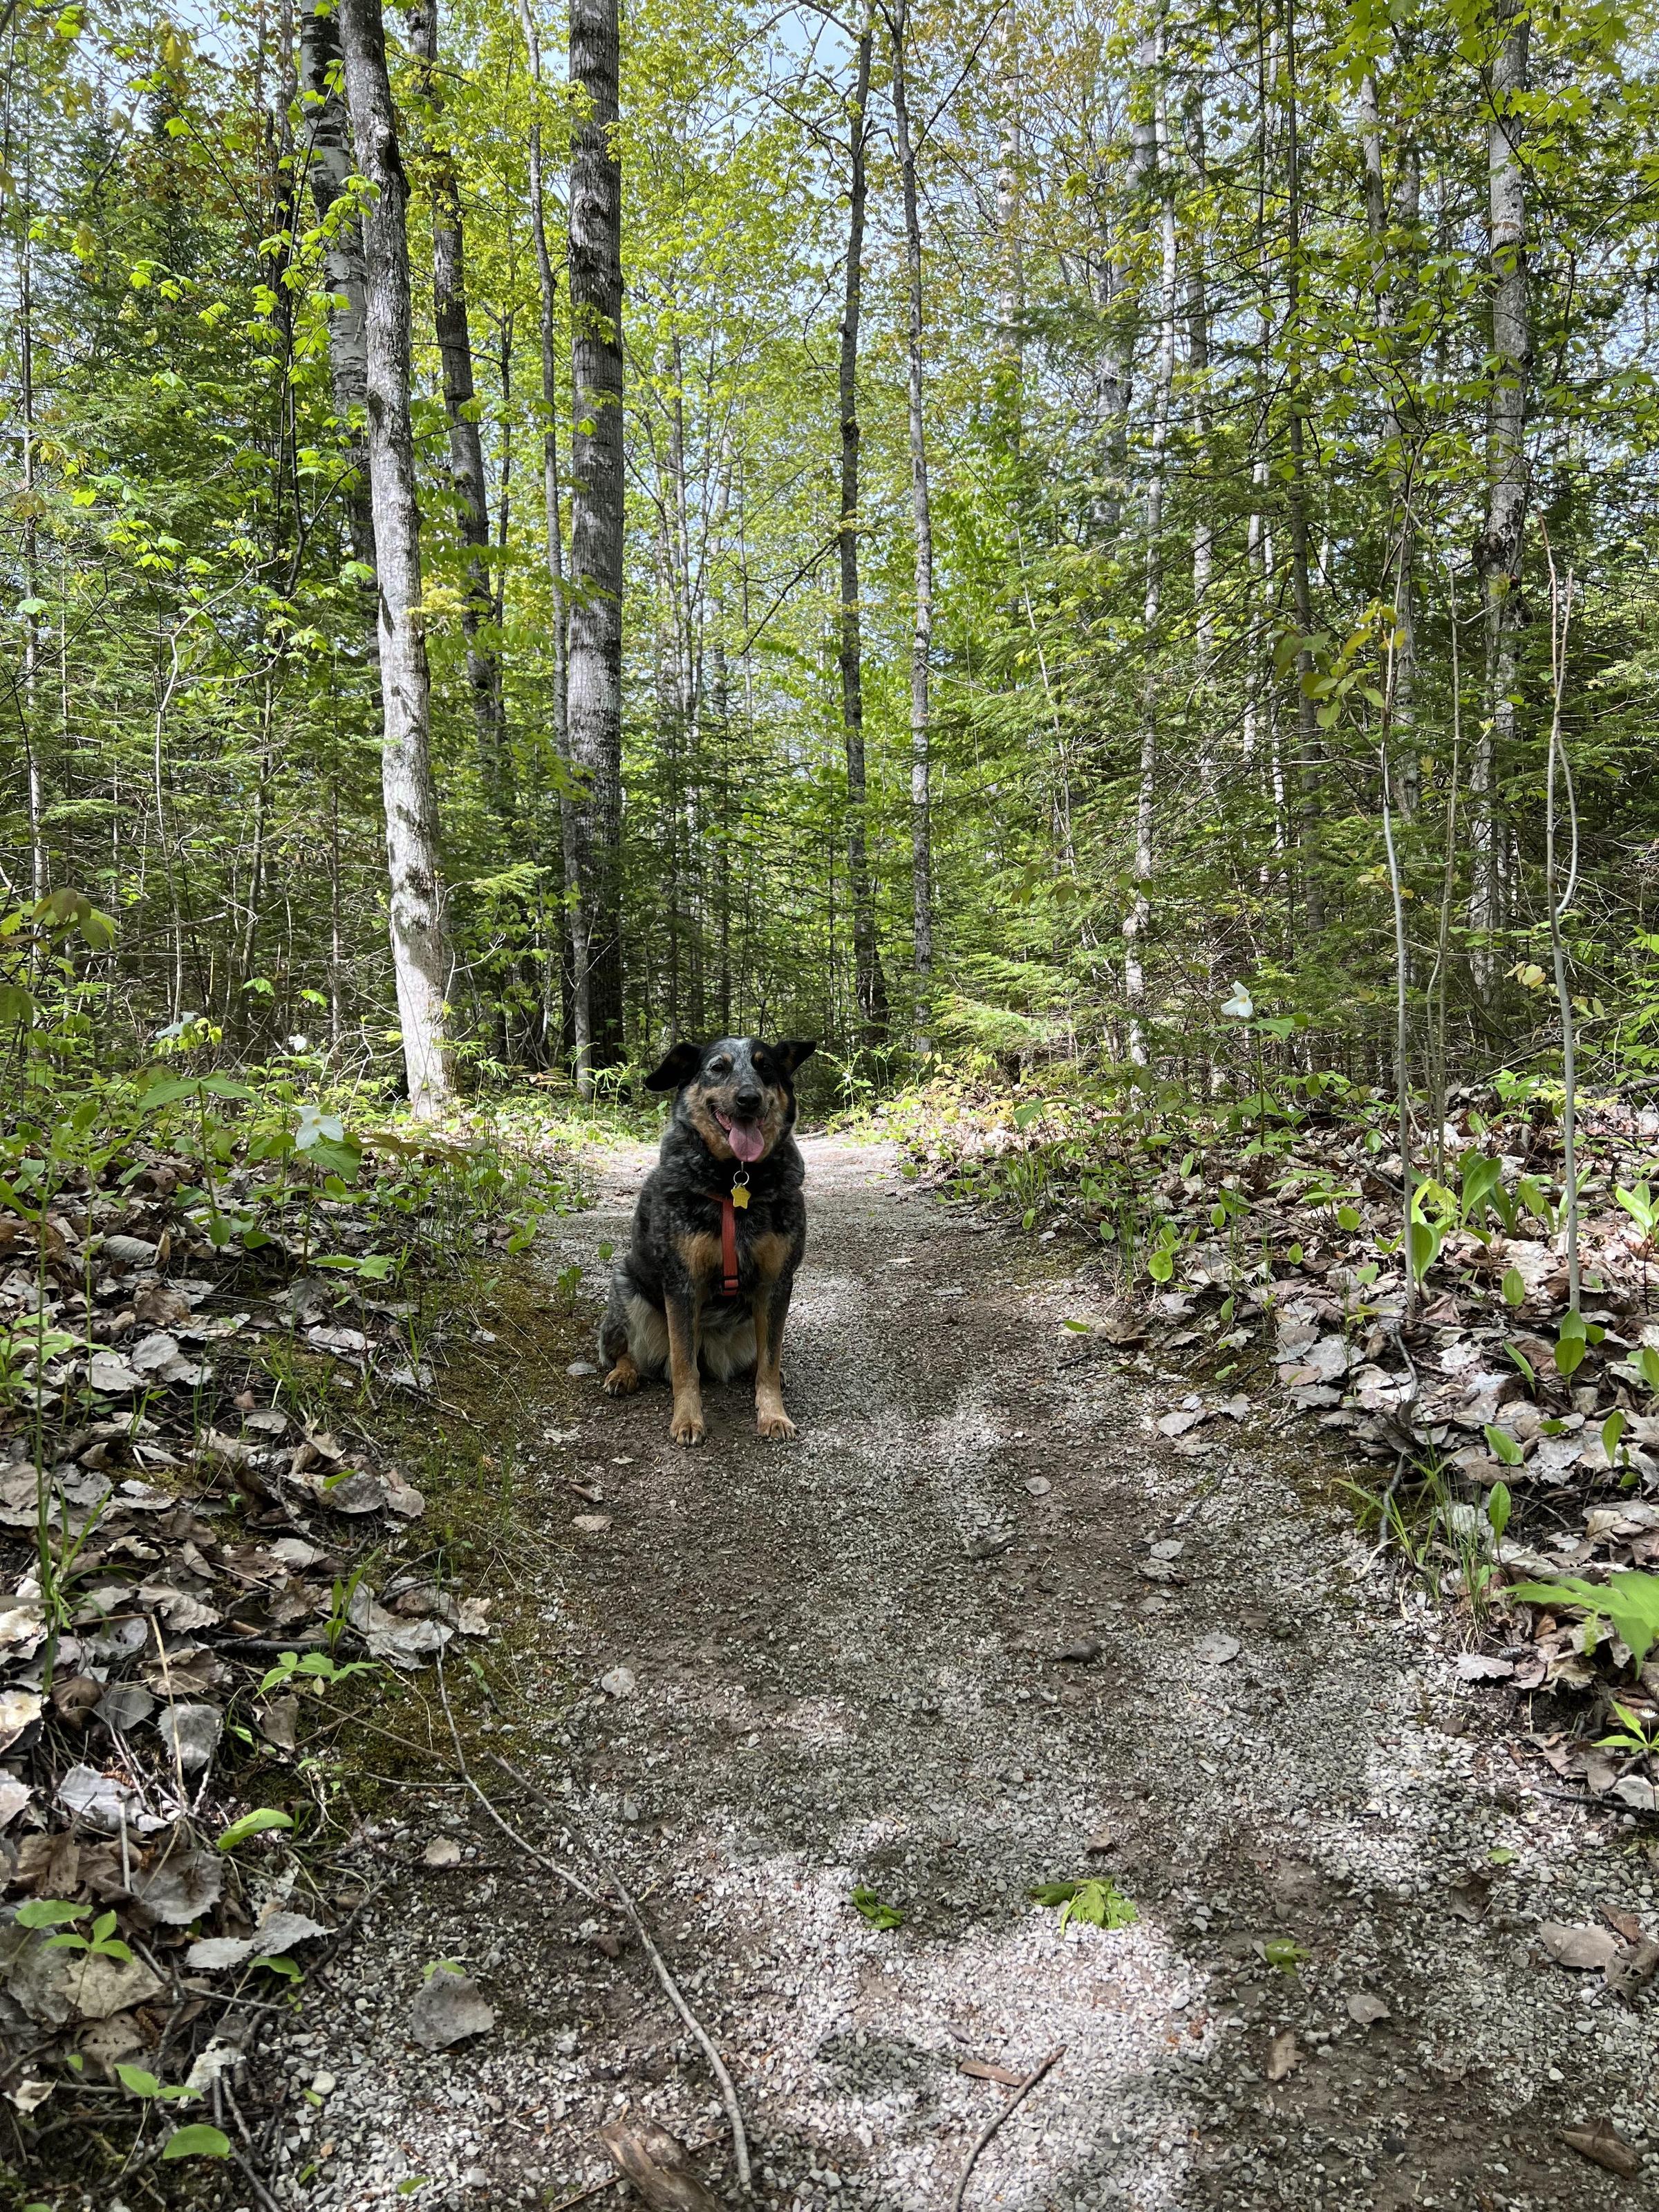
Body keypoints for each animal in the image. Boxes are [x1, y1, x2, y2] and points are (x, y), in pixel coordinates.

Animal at [606, 1040, 827, 1451]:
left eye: (765, 1068)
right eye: (717, 1068)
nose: (748, 1099)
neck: (735, 1179)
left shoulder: (776, 1284)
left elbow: (770, 1362)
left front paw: (774, 1415)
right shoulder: (682, 1285)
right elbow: (683, 1367)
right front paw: (687, 1419)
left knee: (762, 1357)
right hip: (627, 1292)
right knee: (627, 1353)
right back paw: (622, 1375)